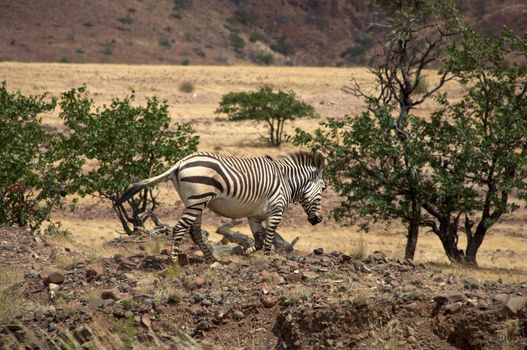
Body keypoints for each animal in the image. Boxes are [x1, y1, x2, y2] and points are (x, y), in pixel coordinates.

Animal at [118, 150, 326, 262]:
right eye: (324, 188)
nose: (319, 220)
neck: (286, 181)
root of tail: (180, 162)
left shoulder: (254, 216)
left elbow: (258, 241)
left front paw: (244, 253)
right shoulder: (276, 211)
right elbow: (268, 241)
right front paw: (268, 259)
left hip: (193, 202)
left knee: (194, 231)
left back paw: (212, 260)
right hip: (198, 199)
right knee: (179, 229)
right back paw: (174, 261)